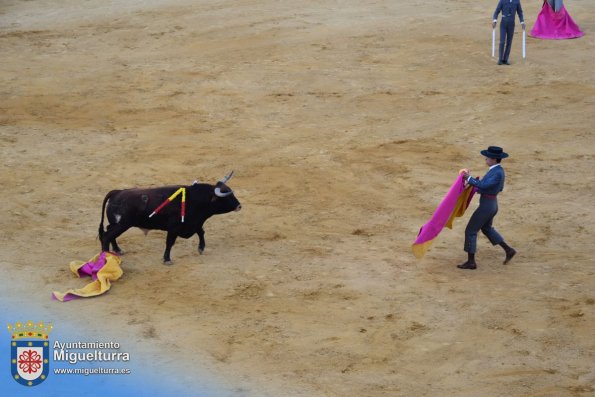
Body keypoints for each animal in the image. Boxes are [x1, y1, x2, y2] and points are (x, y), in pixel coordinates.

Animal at [99, 174, 241, 262]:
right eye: (227, 197)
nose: (239, 206)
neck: (195, 199)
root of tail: (117, 192)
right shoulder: (174, 227)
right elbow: (170, 242)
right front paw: (167, 259)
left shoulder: (193, 223)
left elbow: (201, 232)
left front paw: (201, 248)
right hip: (122, 224)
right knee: (106, 236)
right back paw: (106, 257)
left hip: (117, 223)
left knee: (109, 232)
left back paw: (117, 250)